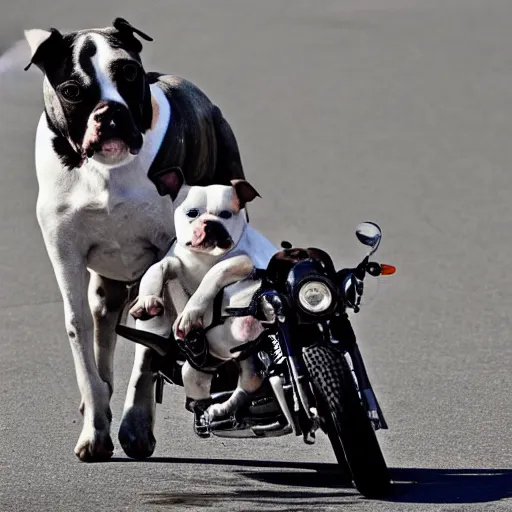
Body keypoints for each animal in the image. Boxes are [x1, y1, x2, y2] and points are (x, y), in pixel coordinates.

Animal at [25, 18, 245, 462]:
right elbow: (82, 342)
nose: (110, 112)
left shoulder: (162, 253)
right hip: (103, 287)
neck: (107, 169)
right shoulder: (66, 256)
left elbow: (150, 340)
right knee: (103, 326)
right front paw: (95, 430)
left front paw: (136, 425)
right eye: (72, 90)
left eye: (128, 72)